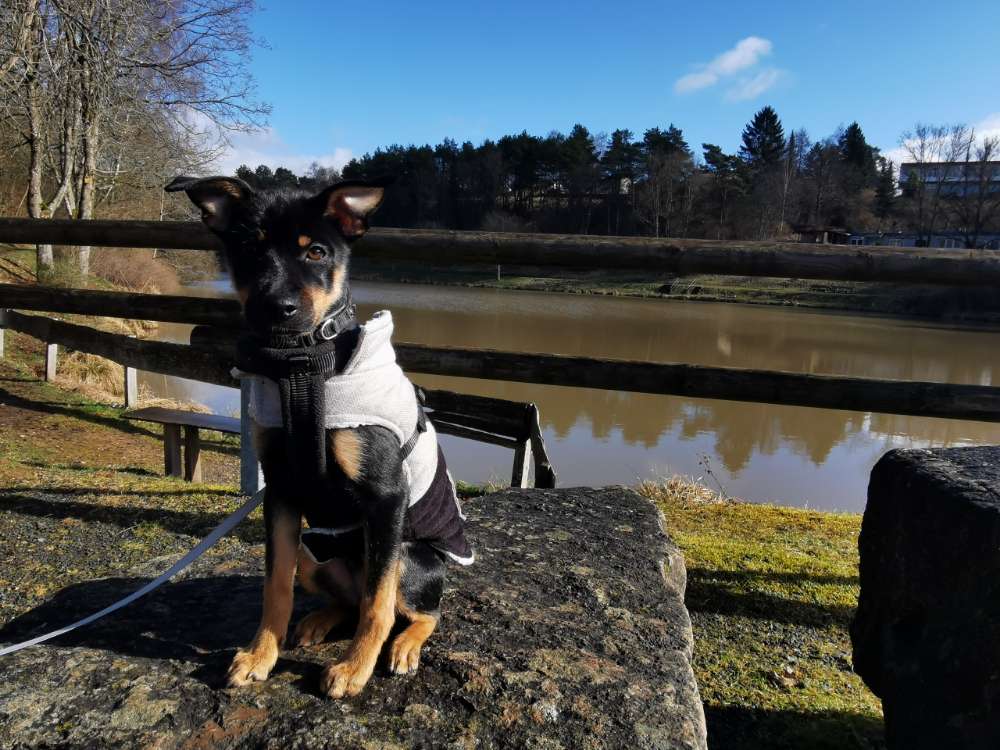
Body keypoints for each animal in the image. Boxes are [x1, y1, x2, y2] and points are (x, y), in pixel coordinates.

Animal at [165, 175, 472, 700]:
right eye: (248, 248)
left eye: (316, 252)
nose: (276, 308)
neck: (301, 366)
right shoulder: (281, 492)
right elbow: (275, 586)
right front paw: (260, 656)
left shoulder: (386, 497)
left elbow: (378, 604)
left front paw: (354, 670)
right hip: (314, 552)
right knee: (348, 599)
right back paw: (318, 622)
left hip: (409, 556)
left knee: (418, 610)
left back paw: (404, 645)